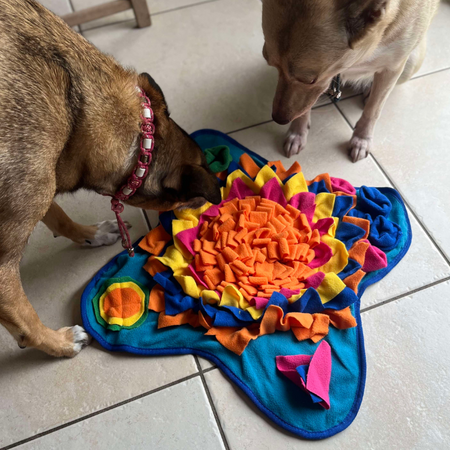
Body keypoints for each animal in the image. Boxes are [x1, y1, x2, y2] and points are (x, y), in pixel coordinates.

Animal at [0, 0, 221, 358]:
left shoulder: (42, 181)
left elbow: (58, 216)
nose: (214, 203)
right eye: (192, 198)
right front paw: (59, 344)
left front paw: (90, 235)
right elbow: (22, 319)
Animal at [262, 0, 438, 162]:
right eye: (270, 62)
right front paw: (297, 133)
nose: (278, 119)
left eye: (311, 80)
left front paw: (361, 139)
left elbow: (373, 110)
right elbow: (303, 109)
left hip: (410, 65)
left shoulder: (393, 68)